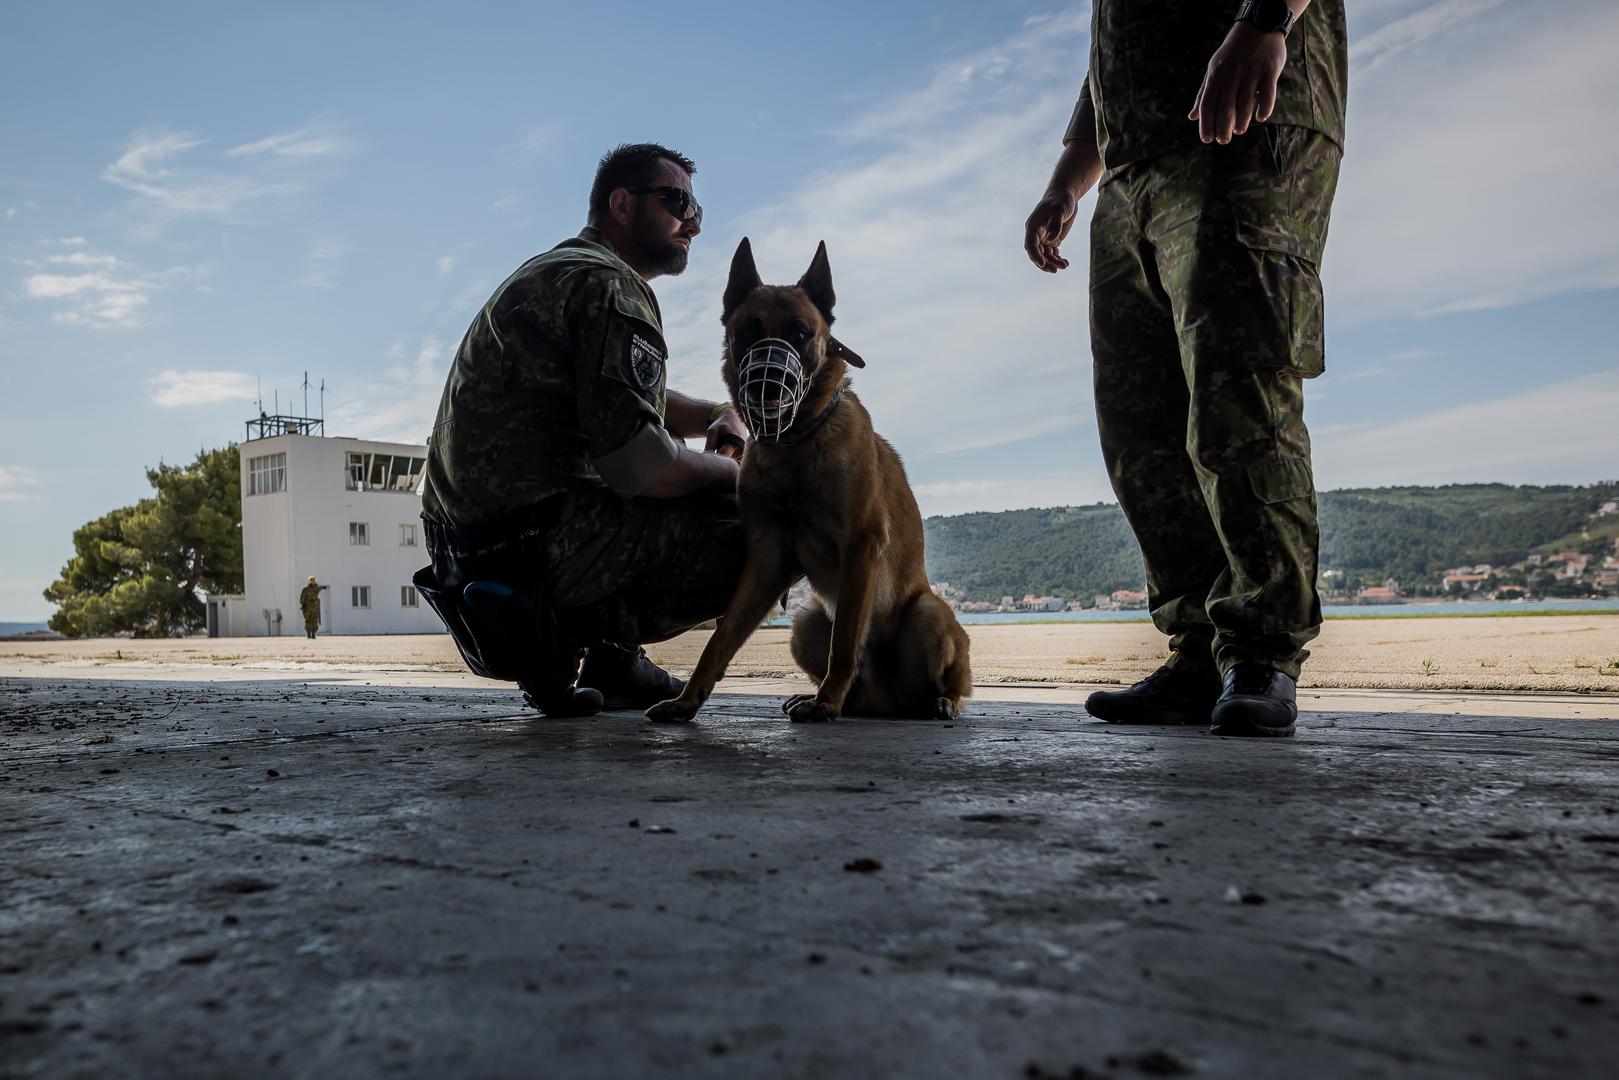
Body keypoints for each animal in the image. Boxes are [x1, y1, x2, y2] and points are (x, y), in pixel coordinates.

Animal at [644, 238, 971, 725]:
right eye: (748, 332)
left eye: (800, 333)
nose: (768, 386)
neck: (795, 444)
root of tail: (886, 702)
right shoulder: (767, 561)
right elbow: (719, 641)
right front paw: (687, 701)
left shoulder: (861, 547)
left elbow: (846, 642)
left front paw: (827, 701)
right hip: (806, 622)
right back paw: (827, 697)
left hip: (928, 612)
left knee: (942, 681)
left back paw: (934, 702)